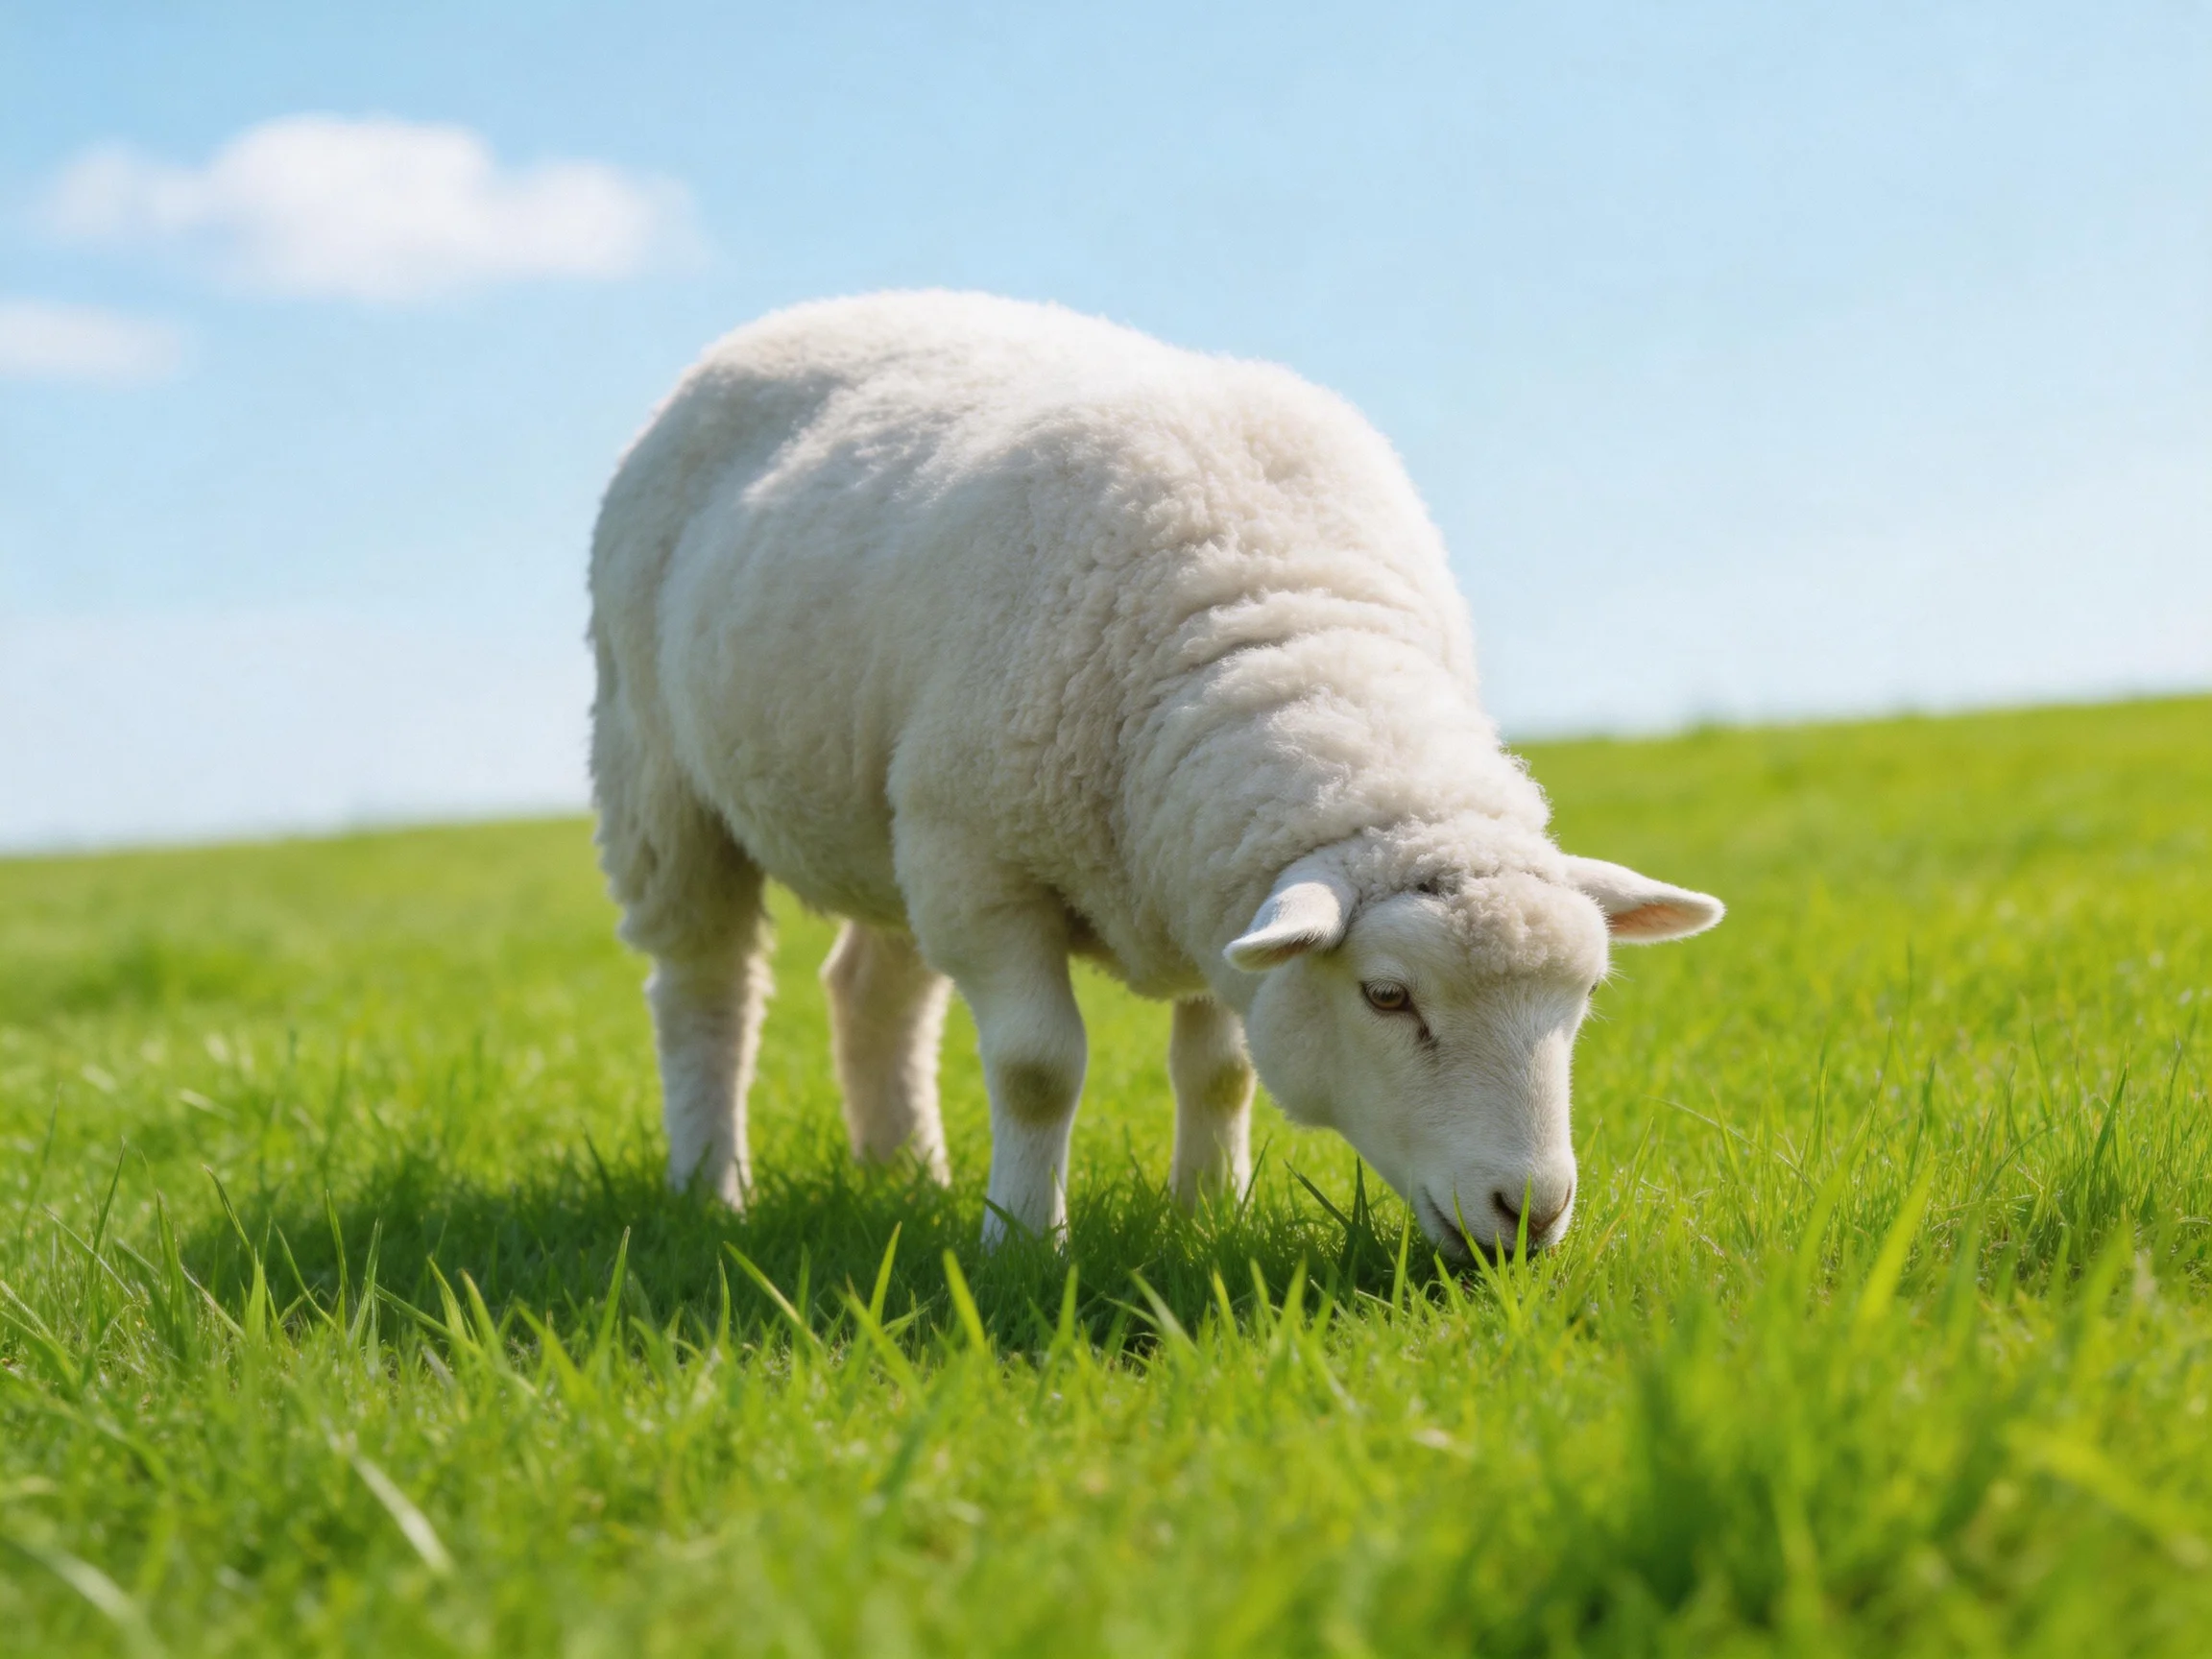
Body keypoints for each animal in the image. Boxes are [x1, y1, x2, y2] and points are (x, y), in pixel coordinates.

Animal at [588, 291, 1723, 1254]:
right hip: (661, 776)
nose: (1529, 1213)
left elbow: (1220, 1071)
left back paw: (905, 1176)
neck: (1288, 622)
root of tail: (811, 310)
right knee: (707, 988)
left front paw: (1209, 1209)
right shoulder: (987, 868)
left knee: (874, 989)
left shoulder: (1212, 882)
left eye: (1584, 997)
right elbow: (1039, 1069)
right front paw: (1021, 1244)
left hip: (888, 815)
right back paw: (711, 1188)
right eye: (1388, 996)